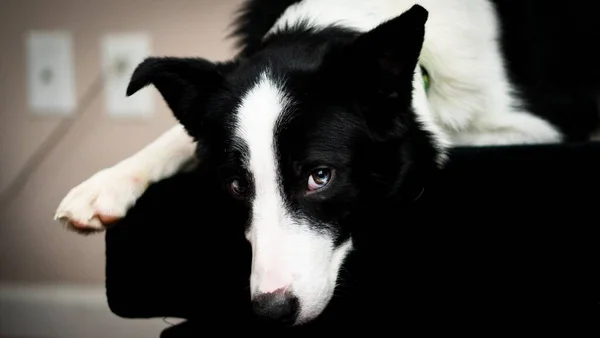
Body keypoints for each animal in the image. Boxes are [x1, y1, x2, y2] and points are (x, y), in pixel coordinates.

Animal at [54, 0, 600, 328]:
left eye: (321, 176)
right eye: (236, 186)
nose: (271, 313)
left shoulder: (532, 123)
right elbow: (181, 138)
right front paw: (105, 184)